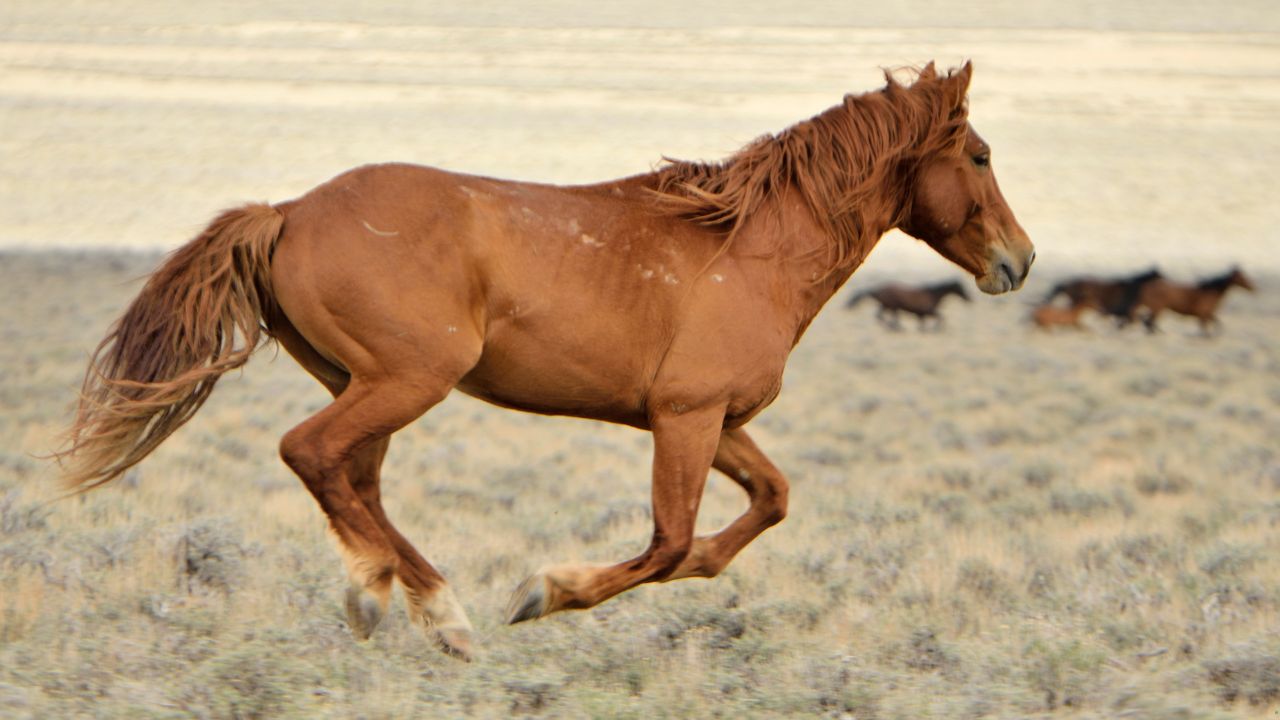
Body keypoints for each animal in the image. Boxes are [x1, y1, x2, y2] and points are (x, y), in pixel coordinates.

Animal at [56, 61, 1033, 660]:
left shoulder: (716, 423)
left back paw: (416, 610)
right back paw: (413, 606)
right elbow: (670, 542)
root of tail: (289, 210)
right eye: (981, 155)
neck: (752, 247)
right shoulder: (685, 418)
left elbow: (760, 511)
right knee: (313, 454)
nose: (1018, 262)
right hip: (407, 380)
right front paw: (543, 591)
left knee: (354, 481)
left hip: (364, 383)